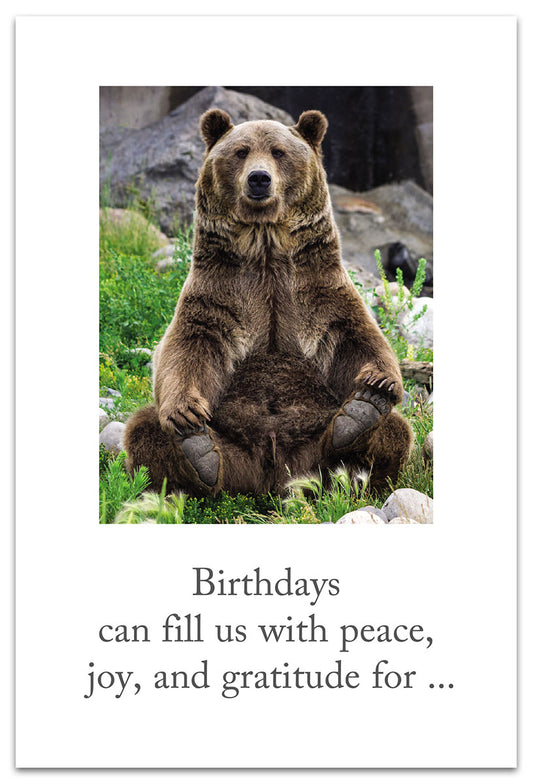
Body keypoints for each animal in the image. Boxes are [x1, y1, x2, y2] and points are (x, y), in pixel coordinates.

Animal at [124, 108, 413, 498]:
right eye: (240, 151)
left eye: (279, 152)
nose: (259, 179)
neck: (265, 247)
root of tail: (272, 478)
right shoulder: (220, 292)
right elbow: (188, 347)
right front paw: (185, 413)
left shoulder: (317, 290)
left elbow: (356, 337)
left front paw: (379, 383)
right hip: (233, 447)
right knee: (144, 428)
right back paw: (199, 454)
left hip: (313, 444)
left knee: (394, 431)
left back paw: (359, 417)